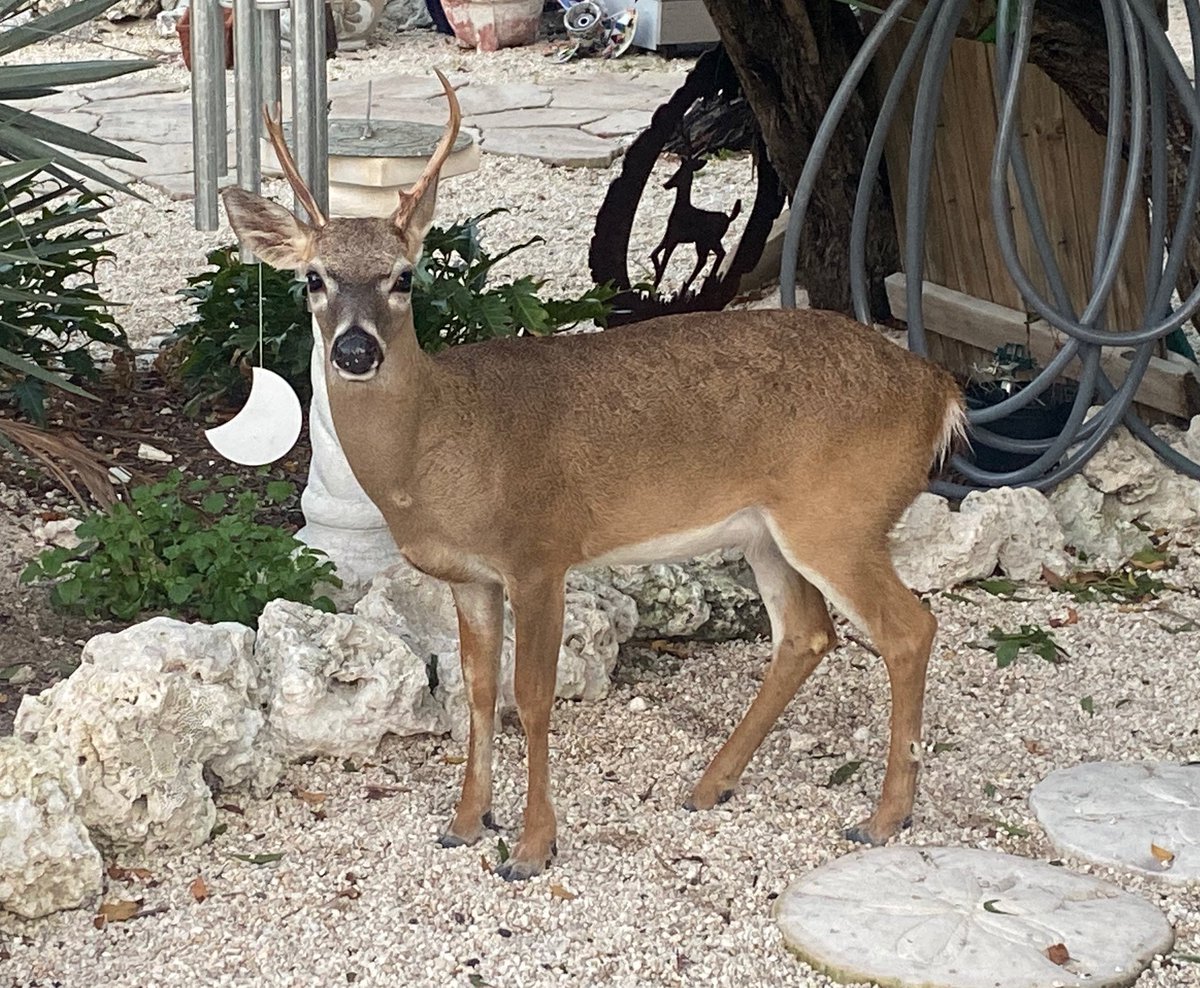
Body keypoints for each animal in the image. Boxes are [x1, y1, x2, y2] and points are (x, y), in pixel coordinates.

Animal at [650, 154, 742, 294]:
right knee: (717, 255)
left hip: (706, 242)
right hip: (709, 242)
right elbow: (654, 253)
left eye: (678, 173)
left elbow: (664, 261)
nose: (666, 184)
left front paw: (655, 284)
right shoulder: (669, 235)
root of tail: (729, 219)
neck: (681, 208)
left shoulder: (674, 238)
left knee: (706, 259)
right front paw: (655, 269)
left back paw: (692, 283)